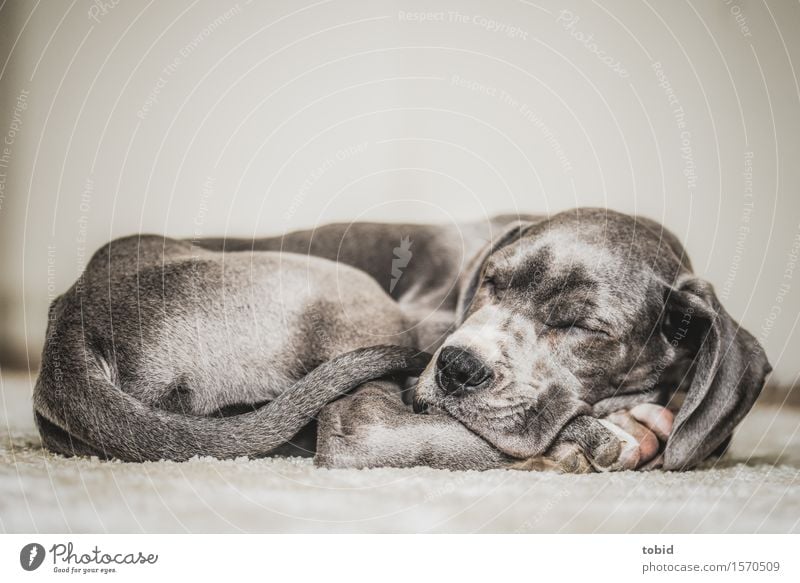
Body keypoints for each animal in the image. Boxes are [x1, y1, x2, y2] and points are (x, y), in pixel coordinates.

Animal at [34, 208, 772, 472]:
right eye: (489, 283)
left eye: (583, 326)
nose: (457, 367)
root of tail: (71, 315)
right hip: (361, 302)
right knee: (369, 431)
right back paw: (600, 439)